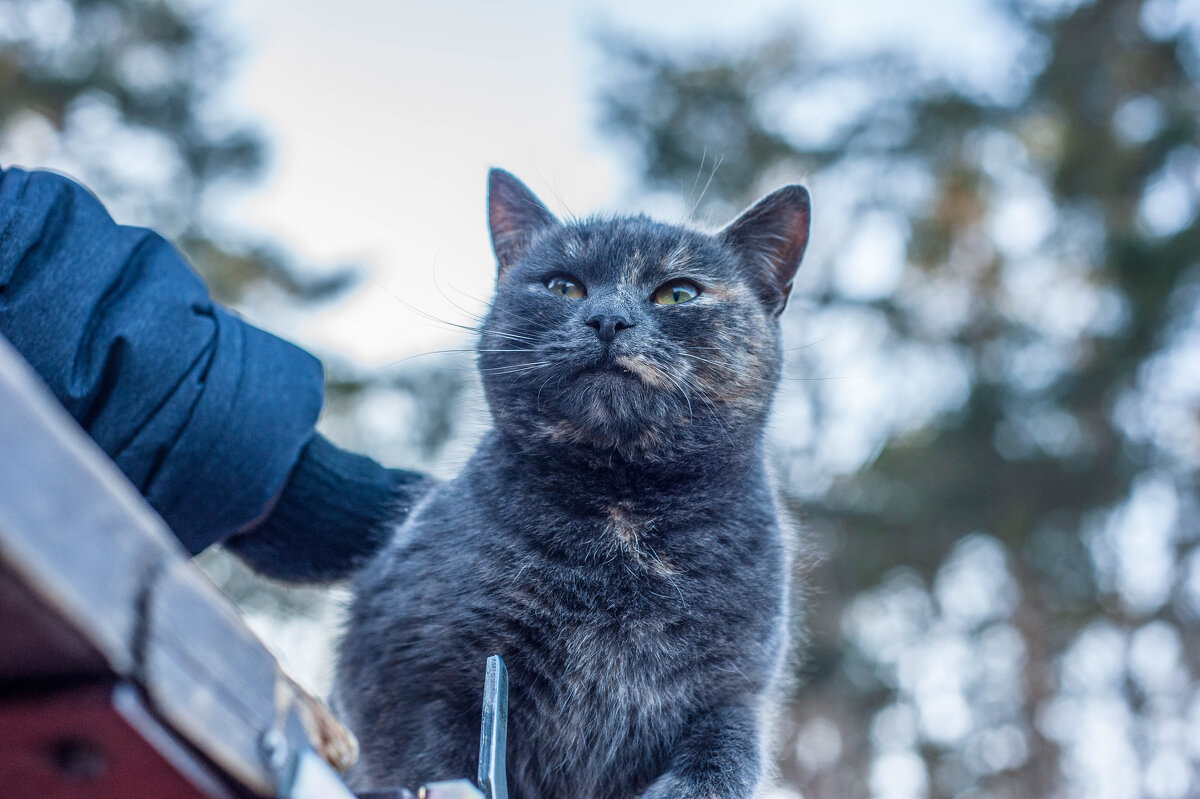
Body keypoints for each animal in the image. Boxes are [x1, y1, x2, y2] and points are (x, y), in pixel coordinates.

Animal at [333, 167, 811, 796]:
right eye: (564, 286)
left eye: (679, 293)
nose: (608, 319)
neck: (623, 516)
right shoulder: (408, 673)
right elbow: (423, 762)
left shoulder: (734, 695)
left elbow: (721, 765)